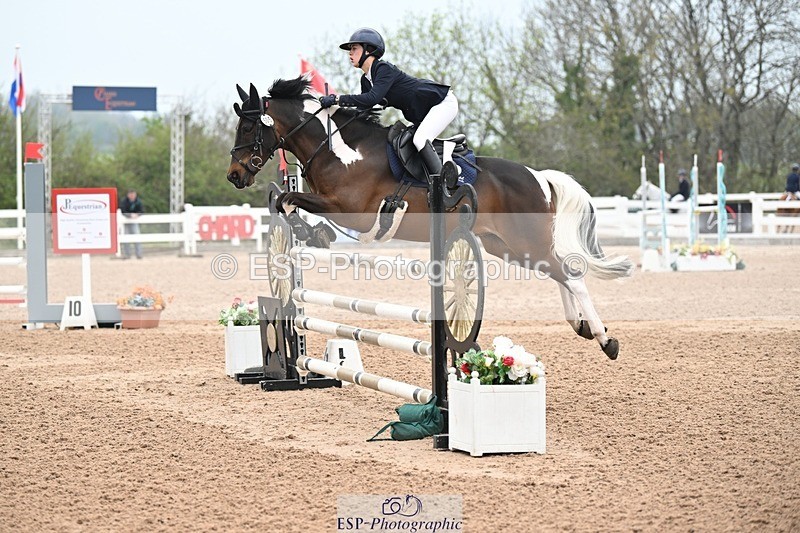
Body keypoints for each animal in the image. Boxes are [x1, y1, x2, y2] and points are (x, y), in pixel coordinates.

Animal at [227, 78, 634, 359]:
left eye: (247, 128)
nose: (234, 175)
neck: (340, 150)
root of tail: (538, 176)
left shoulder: (350, 211)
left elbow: (290, 200)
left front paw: (314, 234)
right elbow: (286, 202)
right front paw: (310, 235)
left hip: (523, 242)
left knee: (572, 275)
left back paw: (605, 339)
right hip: (507, 247)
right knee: (558, 273)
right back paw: (580, 325)